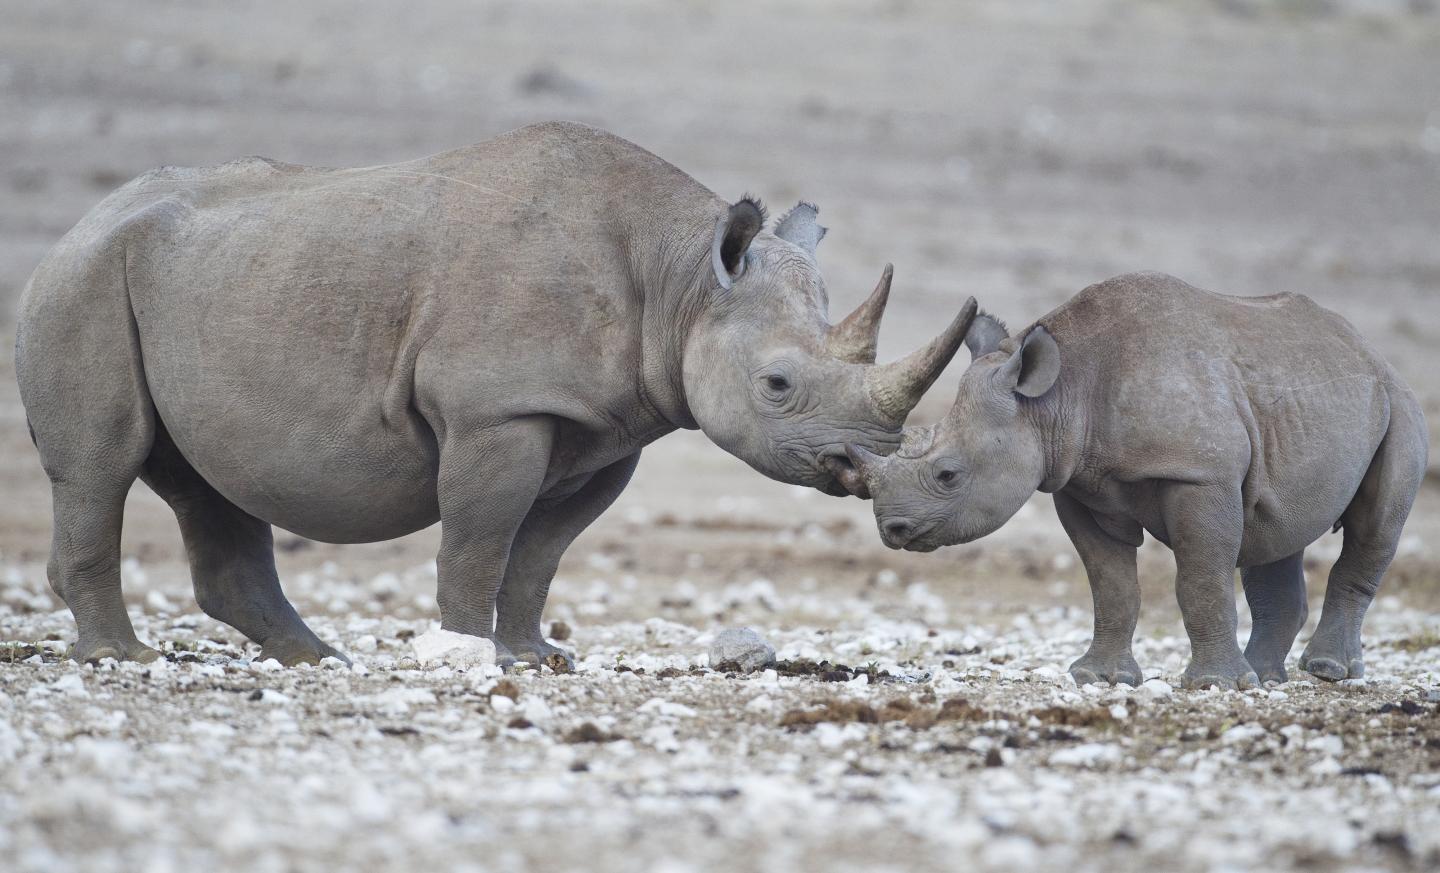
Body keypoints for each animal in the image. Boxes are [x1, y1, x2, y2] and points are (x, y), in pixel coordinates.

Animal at [16, 123, 973, 668]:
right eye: (777, 385)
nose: (860, 465)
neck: (681, 281)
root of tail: (76, 227)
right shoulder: (498, 409)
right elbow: (480, 537)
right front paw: (473, 654)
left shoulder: (605, 429)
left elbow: (540, 552)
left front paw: (534, 657)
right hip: (83, 283)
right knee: (101, 463)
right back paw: (124, 659)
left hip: (191, 280)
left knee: (207, 480)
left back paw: (317, 661)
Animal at [846, 273, 1422, 691]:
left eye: (948, 475)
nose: (892, 530)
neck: (1057, 396)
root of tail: (1369, 350)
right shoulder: (1077, 483)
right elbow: (1110, 583)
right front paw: (1099, 678)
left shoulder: (1200, 474)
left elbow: (1200, 579)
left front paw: (1214, 686)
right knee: (1275, 533)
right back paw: (1265, 678)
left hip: (1399, 404)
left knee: (1374, 526)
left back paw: (1325, 673)